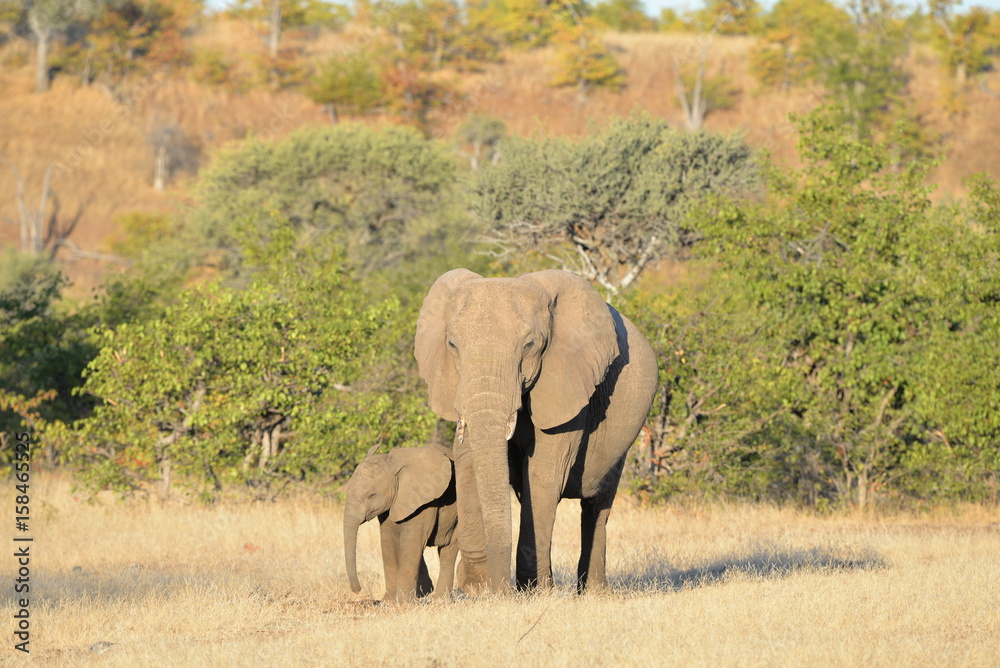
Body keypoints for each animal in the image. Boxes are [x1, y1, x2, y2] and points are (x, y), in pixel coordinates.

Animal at [343, 443, 459, 604]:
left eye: (371, 495)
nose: (358, 590)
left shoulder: (424, 501)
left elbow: (411, 543)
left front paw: (403, 603)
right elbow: (387, 543)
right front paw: (388, 602)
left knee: (448, 550)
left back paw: (441, 600)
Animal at [415, 269, 658, 593]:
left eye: (529, 345)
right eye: (452, 345)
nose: (501, 590)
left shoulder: (569, 384)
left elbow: (543, 473)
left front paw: (534, 592)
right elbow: (468, 463)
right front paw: (479, 589)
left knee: (597, 507)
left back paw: (592, 593)